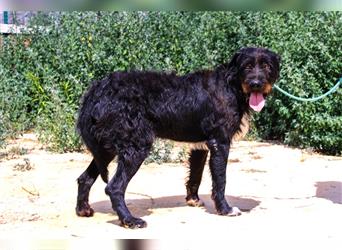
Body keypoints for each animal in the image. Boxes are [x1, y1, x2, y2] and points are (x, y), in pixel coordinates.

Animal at [77, 47, 280, 229]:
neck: (232, 85)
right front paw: (225, 209)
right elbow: (220, 180)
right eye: (247, 66)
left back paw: (83, 210)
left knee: (84, 178)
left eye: (266, 66)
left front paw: (193, 200)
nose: (256, 83)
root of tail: (97, 90)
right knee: (114, 187)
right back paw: (129, 220)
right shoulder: (220, 142)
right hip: (136, 147)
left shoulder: (201, 146)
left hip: (107, 148)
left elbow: (196, 174)